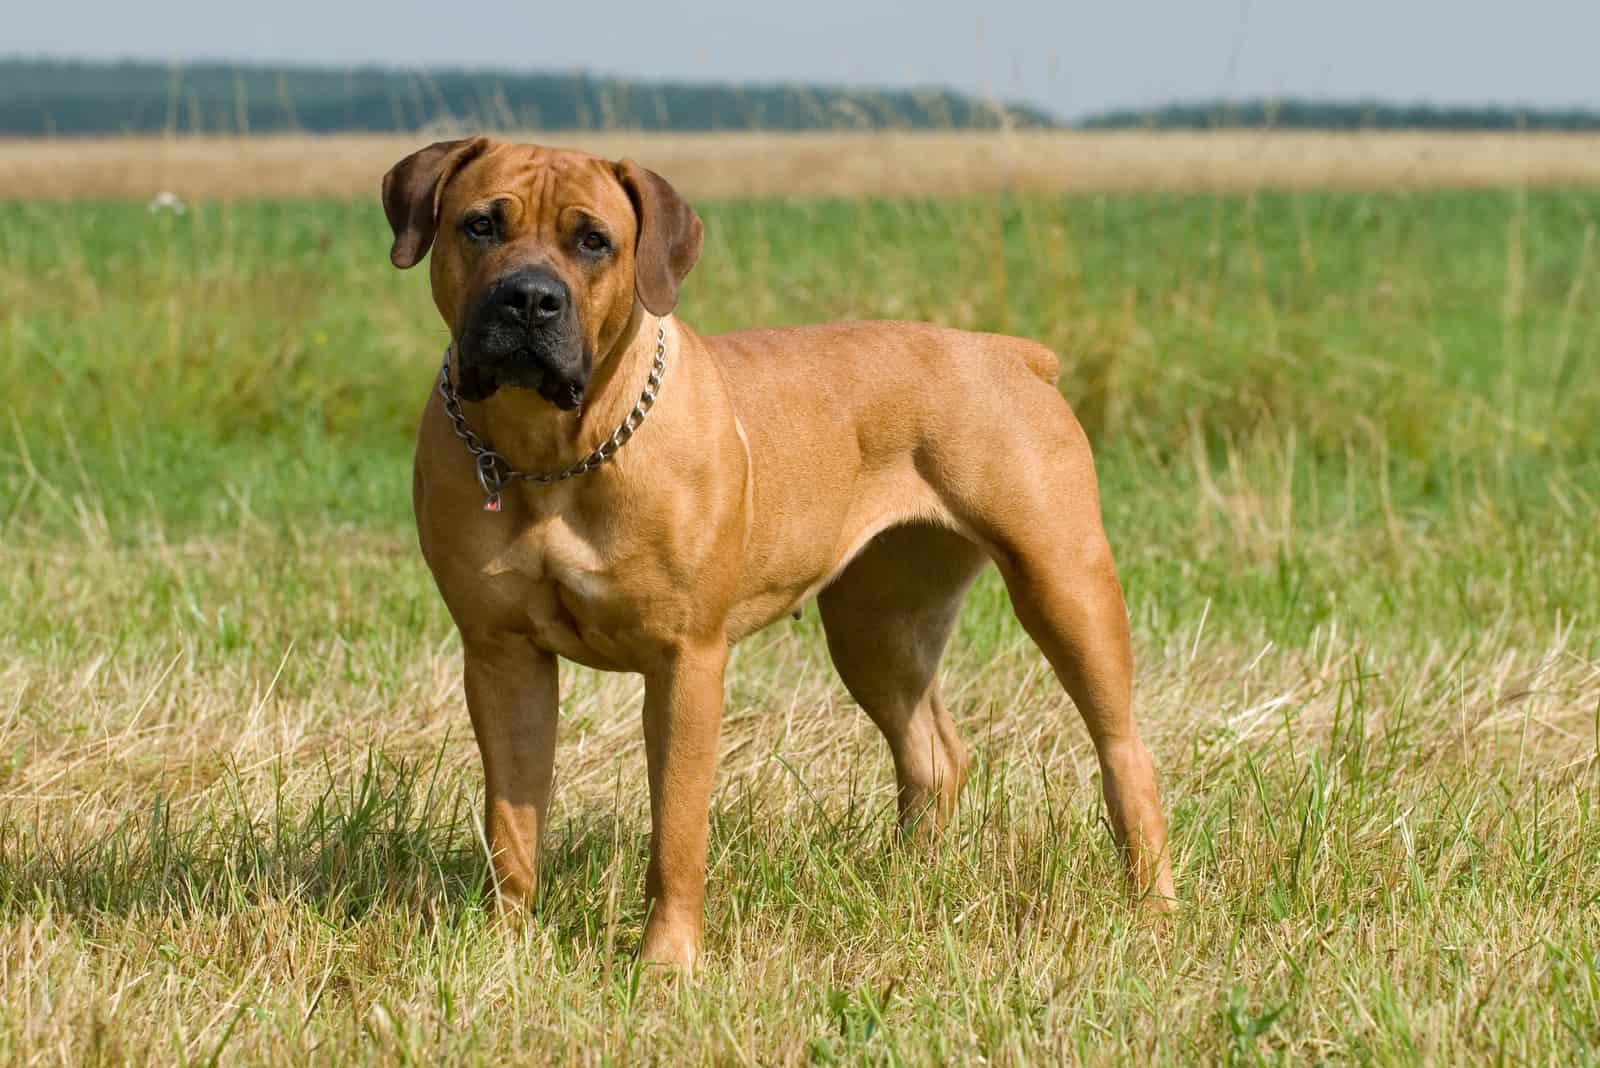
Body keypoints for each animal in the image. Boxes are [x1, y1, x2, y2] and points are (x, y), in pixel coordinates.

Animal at [380, 135, 1171, 965]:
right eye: (480, 225)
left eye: (593, 241)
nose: (529, 299)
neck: (549, 454)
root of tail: (1010, 353)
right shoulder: (501, 656)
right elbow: (513, 818)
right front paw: (503, 943)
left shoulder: (685, 661)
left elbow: (677, 829)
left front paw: (667, 962)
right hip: (878, 626)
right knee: (931, 754)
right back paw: (907, 883)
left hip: (1064, 585)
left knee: (1124, 753)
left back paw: (1151, 908)